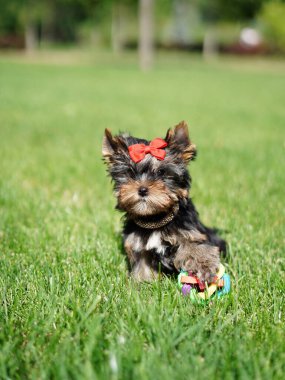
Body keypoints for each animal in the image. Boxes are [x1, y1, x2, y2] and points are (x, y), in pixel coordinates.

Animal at [102, 121, 226, 282]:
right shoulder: (138, 245)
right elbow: (142, 266)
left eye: (161, 172)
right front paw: (142, 283)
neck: (155, 219)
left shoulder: (190, 233)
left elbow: (195, 248)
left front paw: (204, 269)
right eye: (130, 173)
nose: (142, 189)